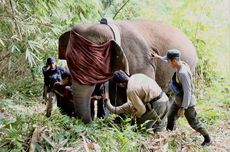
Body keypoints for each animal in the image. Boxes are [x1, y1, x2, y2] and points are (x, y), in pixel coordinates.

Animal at [57, 19, 198, 123]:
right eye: (69, 63)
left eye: (94, 66)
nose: (91, 121)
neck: (109, 28)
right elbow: (116, 94)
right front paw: (120, 122)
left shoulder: (141, 61)